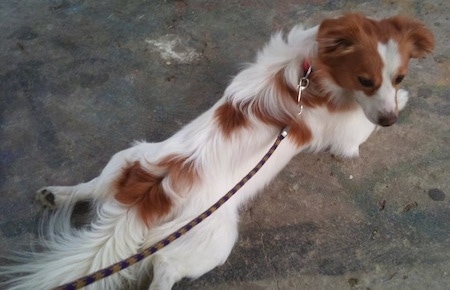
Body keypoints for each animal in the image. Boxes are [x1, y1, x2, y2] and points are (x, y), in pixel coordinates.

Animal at [1, 13, 434, 290]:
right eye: (365, 80)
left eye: (398, 75)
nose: (390, 121)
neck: (310, 67)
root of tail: (151, 195)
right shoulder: (350, 135)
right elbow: (368, 122)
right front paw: (404, 103)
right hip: (213, 240)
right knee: (165, 271)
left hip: (125, 158)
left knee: (92, 187)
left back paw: (57, 194)